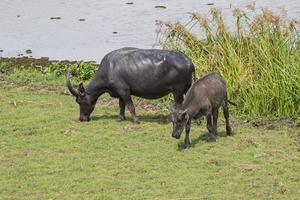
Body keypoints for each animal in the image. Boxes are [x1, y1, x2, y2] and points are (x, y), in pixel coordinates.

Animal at [66, 47, 195, 122]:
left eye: (79, 101)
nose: (82, 119)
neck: (109, 69)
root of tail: (189, 62)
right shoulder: (119, 92)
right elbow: (121, 105)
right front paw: (120, 118)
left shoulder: (124, 90)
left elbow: (130, 105)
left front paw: (136, 120)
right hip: (185, 89)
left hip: (177, 90)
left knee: (179, 104)